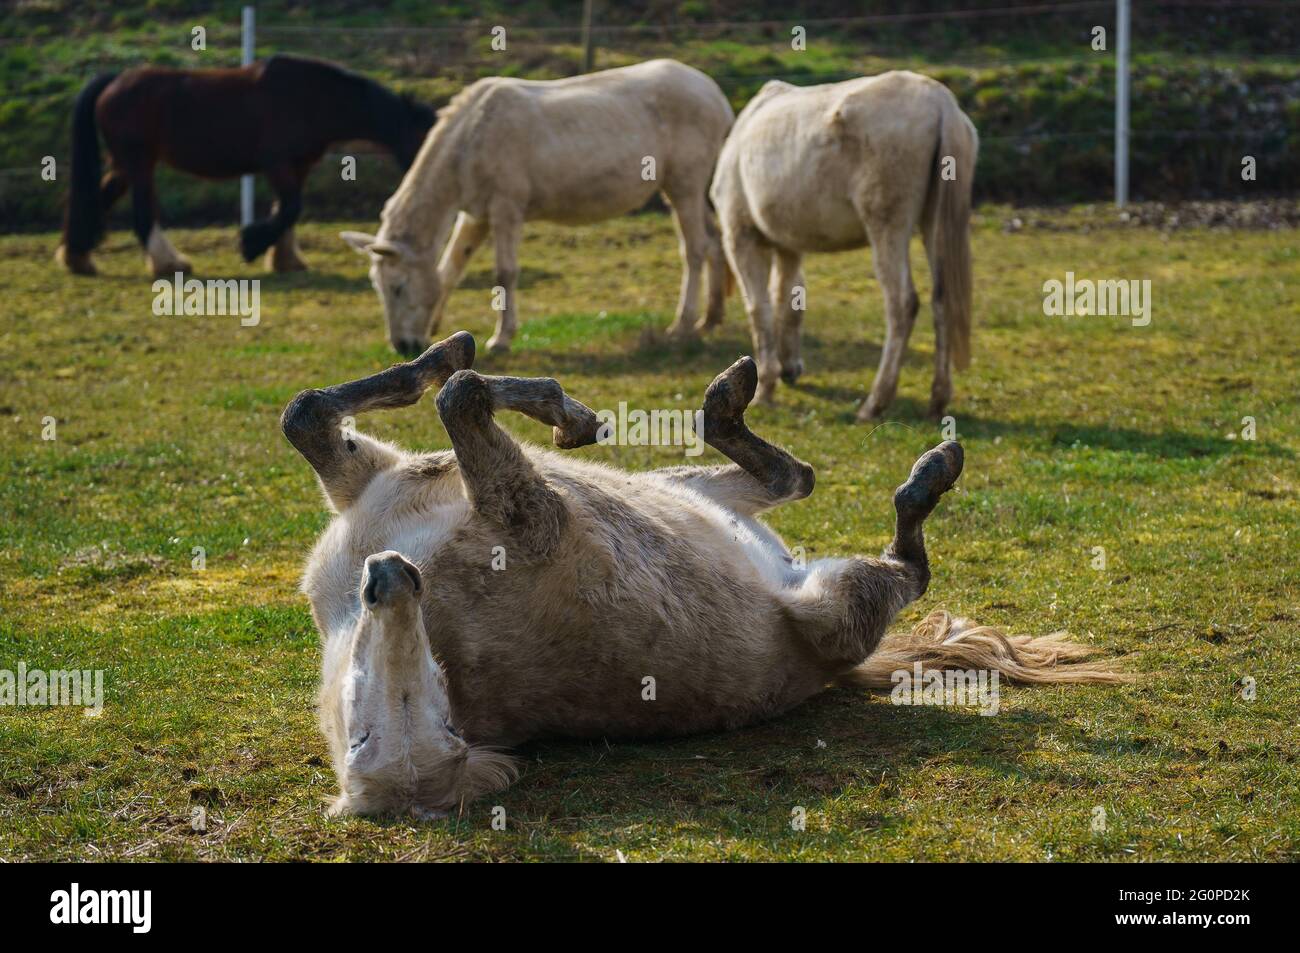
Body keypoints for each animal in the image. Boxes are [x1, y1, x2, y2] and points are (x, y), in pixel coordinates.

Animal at [57, 55, 436, 276]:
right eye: (426, 141)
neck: (311, 97)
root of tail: (114, 81)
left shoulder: (298, 167)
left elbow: (288, 212)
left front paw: (285, 259)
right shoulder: (277, 165)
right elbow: (289, 208)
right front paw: (252, 244)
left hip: (124, 166)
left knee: (97, 201)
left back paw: (77, 257)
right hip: (140, 165)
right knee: (142, 214)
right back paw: (169, 263)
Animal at [279, 330, 1123, 816]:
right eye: (366, 732)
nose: (392, 578)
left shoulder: (371, 481)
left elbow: (317, 410)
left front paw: (531, 393)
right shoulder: (532, 515)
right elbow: (453, 400)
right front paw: (536, 397)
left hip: (692, 487)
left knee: (792, 474)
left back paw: (727, 393)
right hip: (831, 606)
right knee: (897, 560)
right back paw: (932, 469)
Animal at [340, 58, 738, 356]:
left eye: (397, 288)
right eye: (377, 287)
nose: (403, 346)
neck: (472, 137)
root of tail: (718, 96)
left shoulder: (506, 209)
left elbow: (505, 273)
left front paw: (501, 338)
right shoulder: (476, 215)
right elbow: (450, 268)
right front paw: (437, 329)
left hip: (684, 186)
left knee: (695, 249)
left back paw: (682, 326)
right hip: (695, 190)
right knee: (715, 241)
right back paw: (711, 319)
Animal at [712, 70, 977, 421]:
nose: (790, 372)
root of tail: (941, 102)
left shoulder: (741, 238)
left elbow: (760, 308)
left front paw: (766, 384)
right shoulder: (788, 246)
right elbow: (787, 299)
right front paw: (787, 367)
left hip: (887, 227)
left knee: (902, 304)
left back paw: (875, 402)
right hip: (933, 225)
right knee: (941, 301)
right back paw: (937, 400)